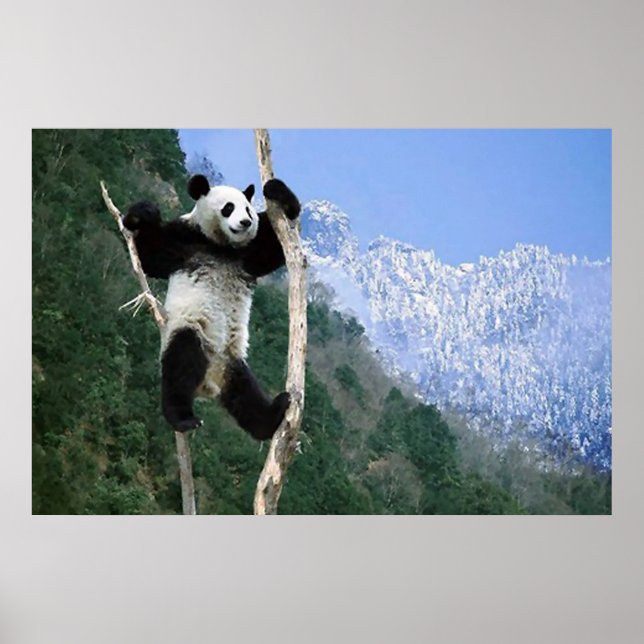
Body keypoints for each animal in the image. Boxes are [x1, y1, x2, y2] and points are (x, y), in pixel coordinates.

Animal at [123, 174, 301, 439]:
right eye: (229, 207)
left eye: (248, 208)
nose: (246, 222)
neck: (221, 245)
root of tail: (209, 383)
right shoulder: (184, 239)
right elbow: (149, 258)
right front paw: (140, 214)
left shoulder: (248, 253)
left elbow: (273, 247)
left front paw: (276, 191)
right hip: (192, 331)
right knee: (181, 365)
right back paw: (183, 418)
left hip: (232, 362)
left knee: (245, 395)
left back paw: (273, 415)